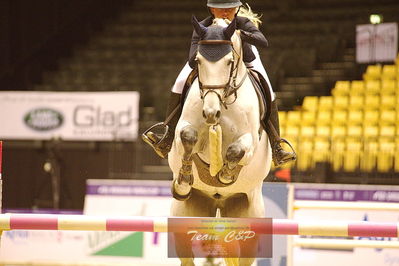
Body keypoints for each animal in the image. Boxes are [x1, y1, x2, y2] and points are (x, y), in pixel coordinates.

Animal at [169, 17, 272, 266]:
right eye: (198, 60)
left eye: (229, 62)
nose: (210, 113)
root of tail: (219, 203)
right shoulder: (184, 128)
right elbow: (188, 137)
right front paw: (184, 179)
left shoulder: (250, 142)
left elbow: (236, 150)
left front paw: (225, 174)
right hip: (185, 214)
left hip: (249, 219)